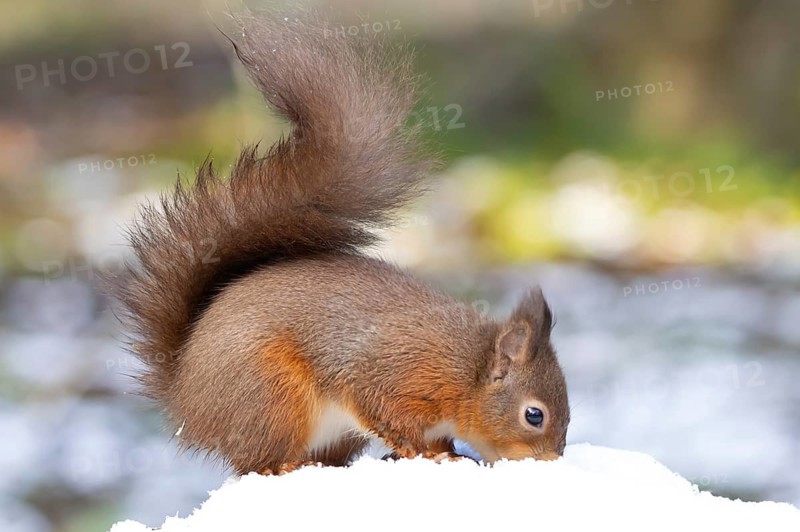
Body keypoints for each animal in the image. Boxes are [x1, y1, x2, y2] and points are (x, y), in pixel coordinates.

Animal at [114, 11, 570, 475]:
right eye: (534, 415)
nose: (554, 460)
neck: (468, 368)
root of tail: (185, 401)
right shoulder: (395, 374)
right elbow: (385, 411)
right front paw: (429, 453)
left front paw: (448, 450)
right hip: (271, 394)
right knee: (256, 462)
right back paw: (287, 466)